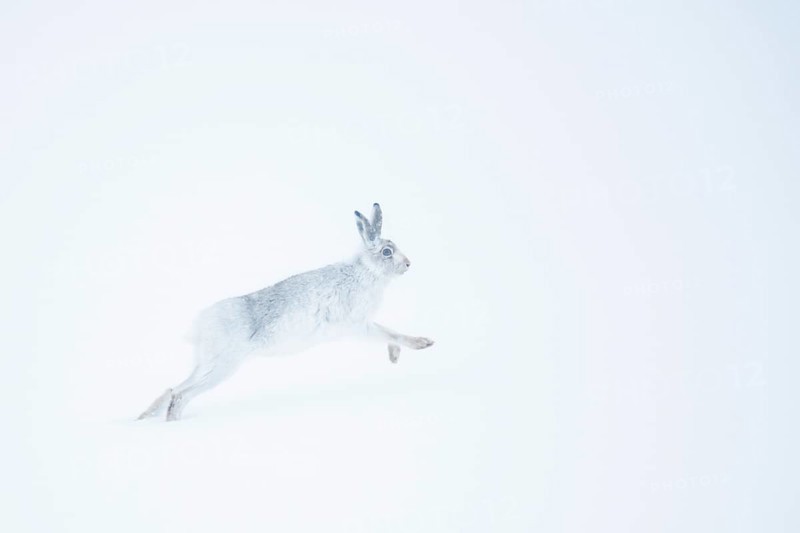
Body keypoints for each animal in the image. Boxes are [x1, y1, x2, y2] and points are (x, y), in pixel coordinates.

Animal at [137, 203, 435, 421]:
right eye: (386, 252)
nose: (408, 264)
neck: (365, 271)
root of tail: (201, 325)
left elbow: (388, 333)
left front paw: (395, 357)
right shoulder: (357, 325)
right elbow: (389, 332)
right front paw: (422, 344)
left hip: (207, 364)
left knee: (175, 388)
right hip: (224, 365)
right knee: (181, 395)